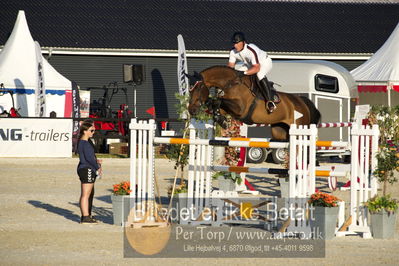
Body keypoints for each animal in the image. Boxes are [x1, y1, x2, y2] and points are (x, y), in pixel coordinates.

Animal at [189, 65, 324, 140]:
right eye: (190, 89)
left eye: (198, 88)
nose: (191, 109)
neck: (232, 84)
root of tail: (301, 101)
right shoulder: (228, 107)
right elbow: (216, 104)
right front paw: (222, 120)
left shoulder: (240, 109)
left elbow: (218, 100)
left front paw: (222, 121)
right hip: (279, 131)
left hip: (300, 126)